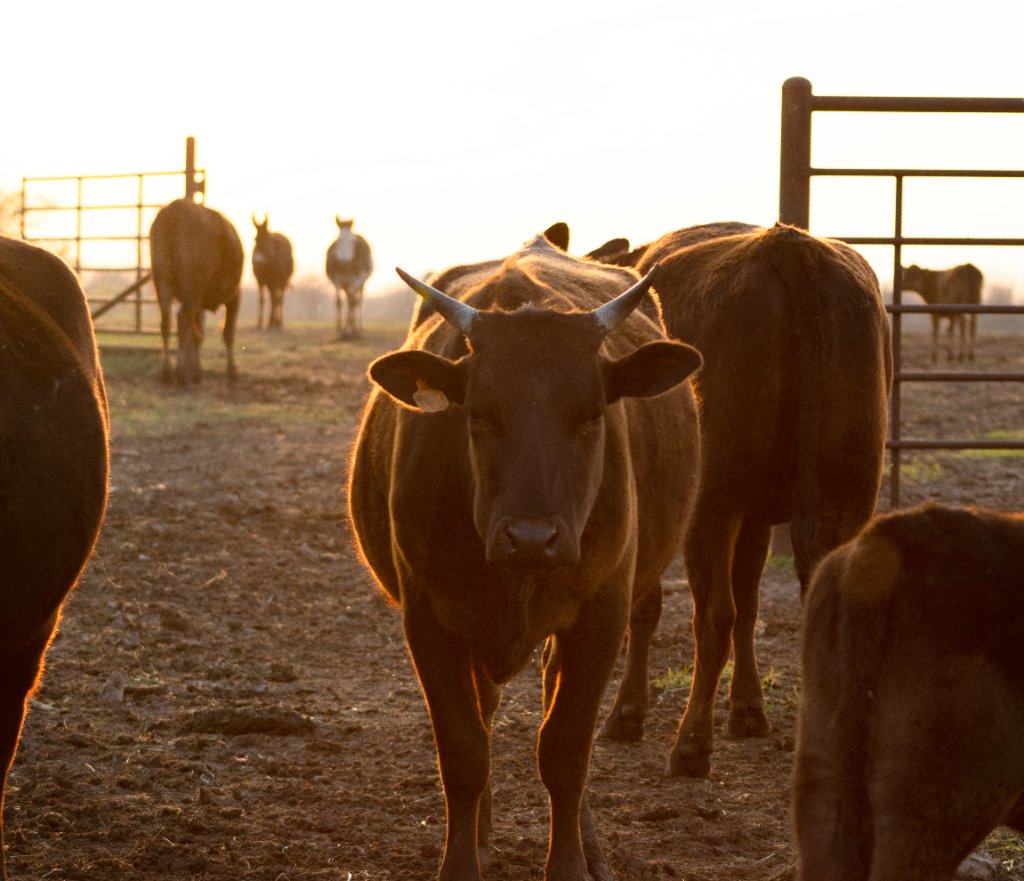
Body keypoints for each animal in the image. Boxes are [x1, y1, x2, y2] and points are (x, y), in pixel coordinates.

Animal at [149, 198, 244, 385]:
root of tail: (177, 207)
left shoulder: (199, 302)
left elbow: (196, 335)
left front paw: (196, 371)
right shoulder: (234, 296)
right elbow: (228, 333)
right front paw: (232, 370)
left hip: (163, 282)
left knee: (166, 321)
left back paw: (167, 372)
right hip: (192, 289)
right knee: (182, 318)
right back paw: (181, 373)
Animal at [347, 234, 702, 881]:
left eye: (590, 415)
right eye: (479, 413)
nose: (533, 539)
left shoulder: (601, 616)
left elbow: (565, 750)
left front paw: (569, 864)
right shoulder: (429, 621)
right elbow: (465, 752)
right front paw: (462, 862)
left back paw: (590, 846)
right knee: (486, 717)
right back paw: (486, 835)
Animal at [597, 222, 892, 778]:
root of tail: (791, 247)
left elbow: (647, 608)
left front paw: (627, 715)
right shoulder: (756, 518)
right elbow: (752, 604)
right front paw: (749, 711)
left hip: (713, 504)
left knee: (713, 616)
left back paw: (691, 744)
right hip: (848, 493)